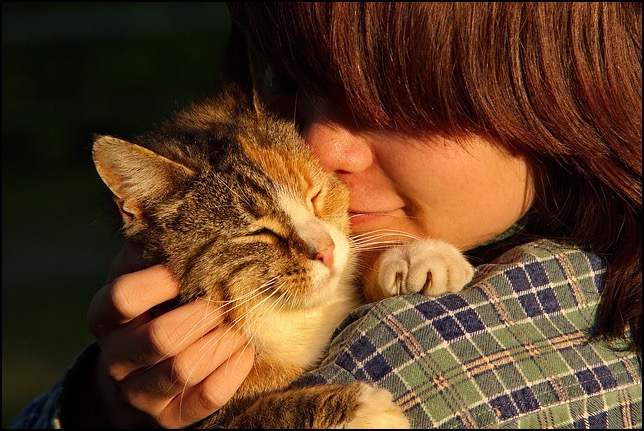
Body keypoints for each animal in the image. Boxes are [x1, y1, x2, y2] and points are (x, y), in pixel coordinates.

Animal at [92, 83, 472, 428]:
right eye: (260, 232)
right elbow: (259, 414)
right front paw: (361, 410)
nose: (326, 251)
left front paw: (416, 258)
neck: (284, 317)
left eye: (315, 194)